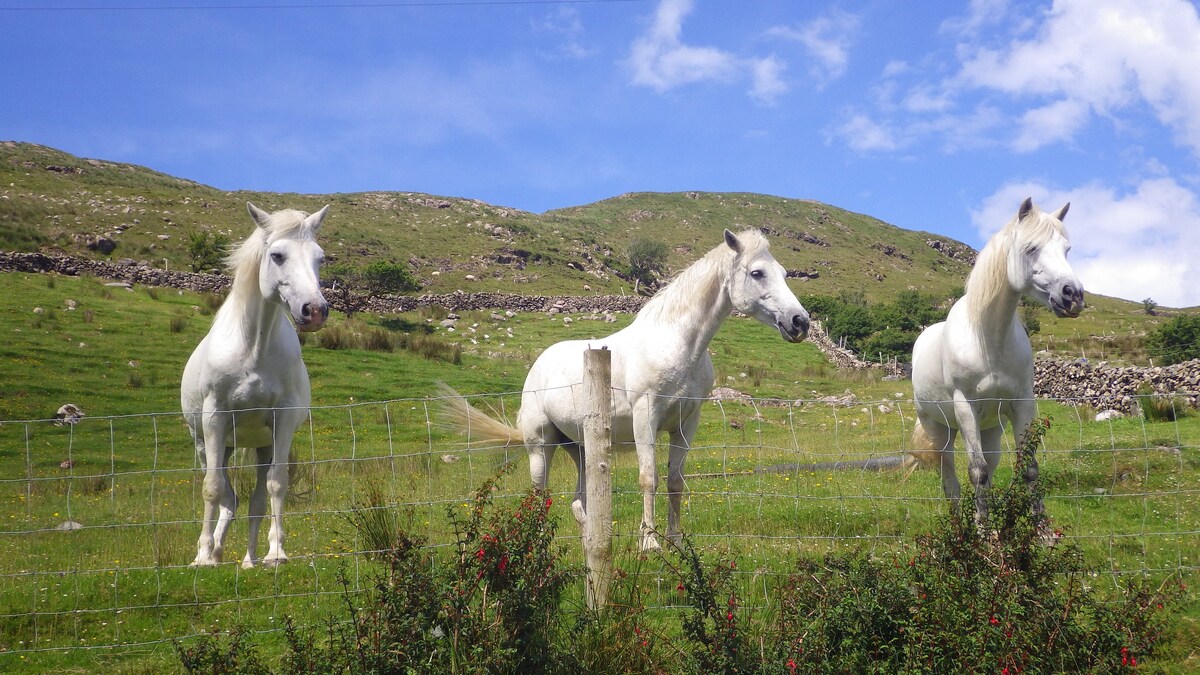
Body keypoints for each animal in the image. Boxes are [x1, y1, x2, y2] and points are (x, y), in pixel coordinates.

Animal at [178, 201, 328, 564]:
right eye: (277, 255)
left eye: (320, 258)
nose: (315, 310)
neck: (253, 349)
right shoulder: (215, 418)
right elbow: (212, 489)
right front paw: (203, 556)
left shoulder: (282, 421)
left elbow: (276, 485)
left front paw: (276, 553)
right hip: (209, 443)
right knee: (224, 493)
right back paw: (212, 552)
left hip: (261, 445)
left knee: (252, 500)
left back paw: (249, 559)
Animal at [439, 228, 806, 550]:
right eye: (757, 273)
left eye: (784, 273)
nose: (800, 322)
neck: (676, 343)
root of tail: (539, 365)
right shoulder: (646, 418)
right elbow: (649, 478)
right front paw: (650, 544)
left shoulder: (686, 425)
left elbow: (675, 482)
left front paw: (676, 542)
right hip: (540, 446)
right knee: (539, 496)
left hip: (580, 449)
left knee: (578, 503)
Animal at [912, 196, 1084, 523]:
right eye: (1031, 248)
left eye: (1067, 249)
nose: (1073, 296)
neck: (988, 340)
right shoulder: (965, 407)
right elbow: (976, 472)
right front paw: (983, 530)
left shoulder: (1022, 403)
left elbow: (1028, 468)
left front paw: (1039, 529)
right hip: (940, 430)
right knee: (950, 481)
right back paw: (960, 526)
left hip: (990, 428)